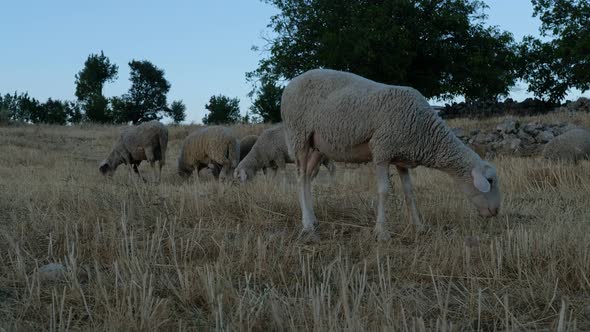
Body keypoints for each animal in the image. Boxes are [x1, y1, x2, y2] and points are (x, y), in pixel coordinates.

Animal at [284, 69, 504, 241]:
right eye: (490, 181)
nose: (496, 212)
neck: (425, 132)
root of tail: (291, 83)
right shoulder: (382, 150)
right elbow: (384, 190)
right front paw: (381, 232)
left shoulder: (402, 159)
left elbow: (409, 192)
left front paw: (419, 227)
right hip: (298, 135)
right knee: (300, 177)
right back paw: (307, 225)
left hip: (317, 147)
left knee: (308, 178)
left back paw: (313, 219)